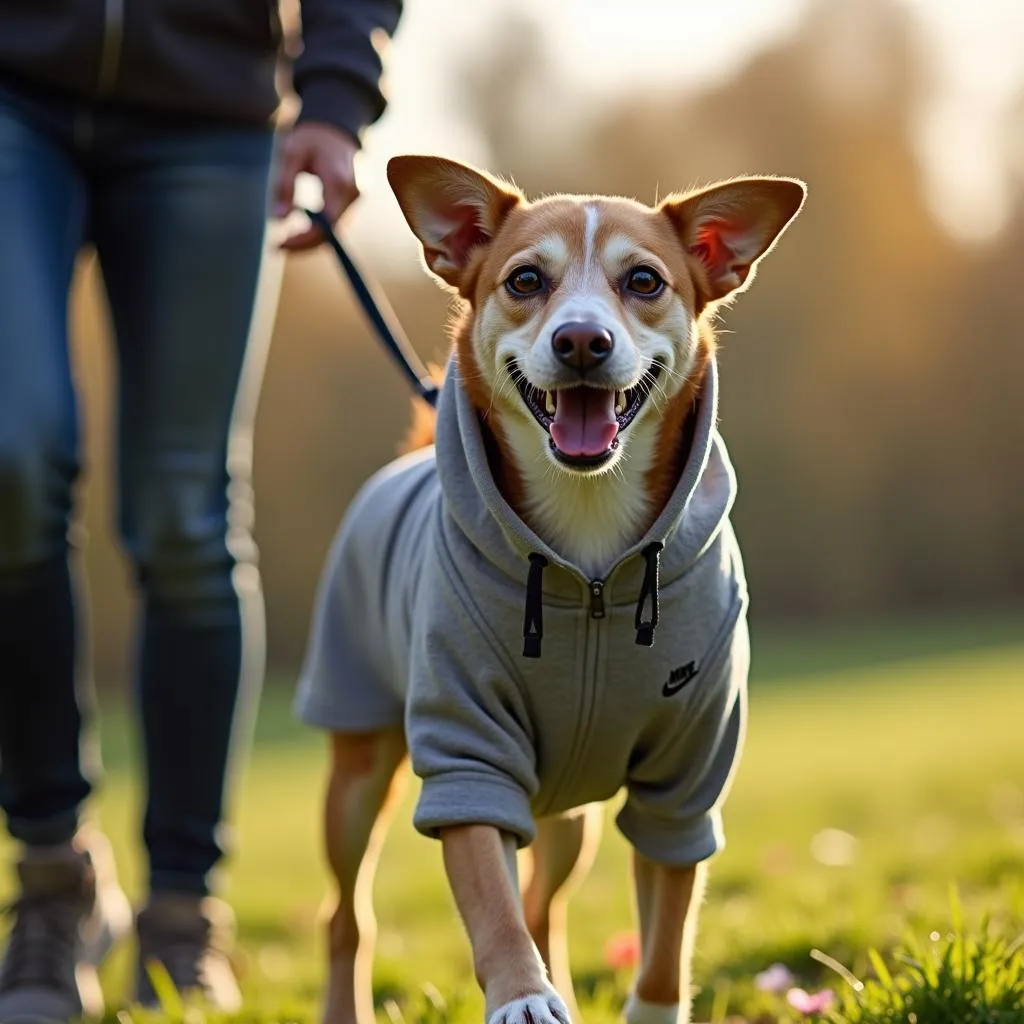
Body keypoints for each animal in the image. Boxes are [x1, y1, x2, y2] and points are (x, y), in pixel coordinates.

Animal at [294, 153, 806, 1024]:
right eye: (526, 280)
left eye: (644, 280)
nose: (581, 340)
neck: (589, 560)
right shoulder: (466, 750)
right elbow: (491, 904)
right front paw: (523, 997)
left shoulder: (688, 775)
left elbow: (665, 936)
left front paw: (647, 1007)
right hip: (357, 772)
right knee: (346, 914)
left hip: (571, 814)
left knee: (544, 900)